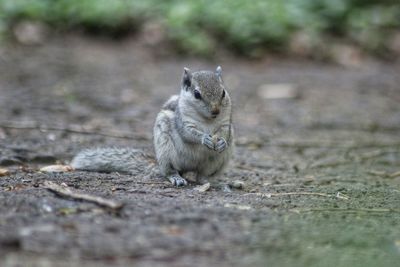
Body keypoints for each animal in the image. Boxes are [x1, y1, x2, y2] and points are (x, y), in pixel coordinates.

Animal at [71, 66, 234, 187]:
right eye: (197, 94)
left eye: (223, 92)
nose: (216, 111)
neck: (207, 120)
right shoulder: (182, 120)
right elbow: (188, 133)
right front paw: (204, 138)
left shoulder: (226, 123)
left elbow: (224, 132)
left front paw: (221, 142)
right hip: (166, 150)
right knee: (169, 171)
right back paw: (176, 177)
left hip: (218, 161)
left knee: (201, 176)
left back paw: (213, 182)